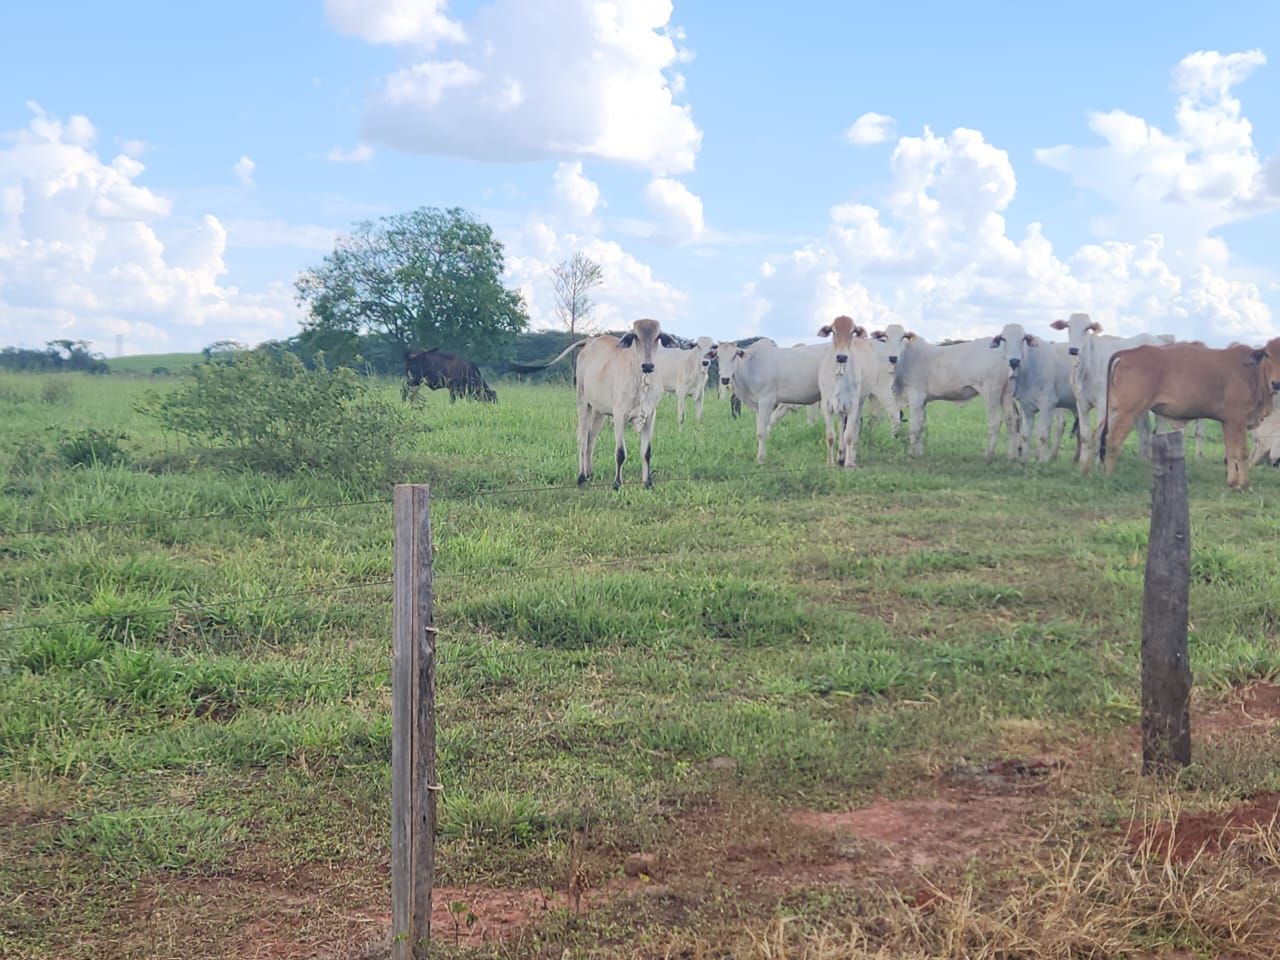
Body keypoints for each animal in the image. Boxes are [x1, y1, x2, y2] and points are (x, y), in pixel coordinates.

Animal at [506, 321, 675, 488]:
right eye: (636, 336)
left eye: (657, 337)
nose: (648, 366)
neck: (641, 382)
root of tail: (589, 341)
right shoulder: (619, 415)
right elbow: (620, 453)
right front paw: (617, 484)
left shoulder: (650, 415)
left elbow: (646, 452)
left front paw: (648, 483)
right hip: (582, 401)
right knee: (582, 437)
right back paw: (581, 476)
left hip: (599, 410)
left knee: (590, 437)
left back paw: (589, 472)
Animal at [885, 325, 1024, 463]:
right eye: (885, 338)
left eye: (902, 337)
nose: (892, 357)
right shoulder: (922, 402)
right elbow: (922, 424)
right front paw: (919, 453)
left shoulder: (916, 395)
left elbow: (914, 425)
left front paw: (912, 455)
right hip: (1006, 393)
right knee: (1012, 419)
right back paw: (1012, 456)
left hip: (991, 391)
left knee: (995, 420)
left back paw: (988, 456)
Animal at [1095, 337, 1280, 488]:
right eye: (1267, 354)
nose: (1276, 383)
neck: (1253, 372)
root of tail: (1129, 353)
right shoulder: (1237, 420)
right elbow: (1241, 453)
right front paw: (1244, 484)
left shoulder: (1228, 422)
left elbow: (1230, 452)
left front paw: (1233, 482)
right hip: (1129, 411)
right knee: (1112, 440)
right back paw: (1107, 477)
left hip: (1114, 410)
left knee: (1099, 435)